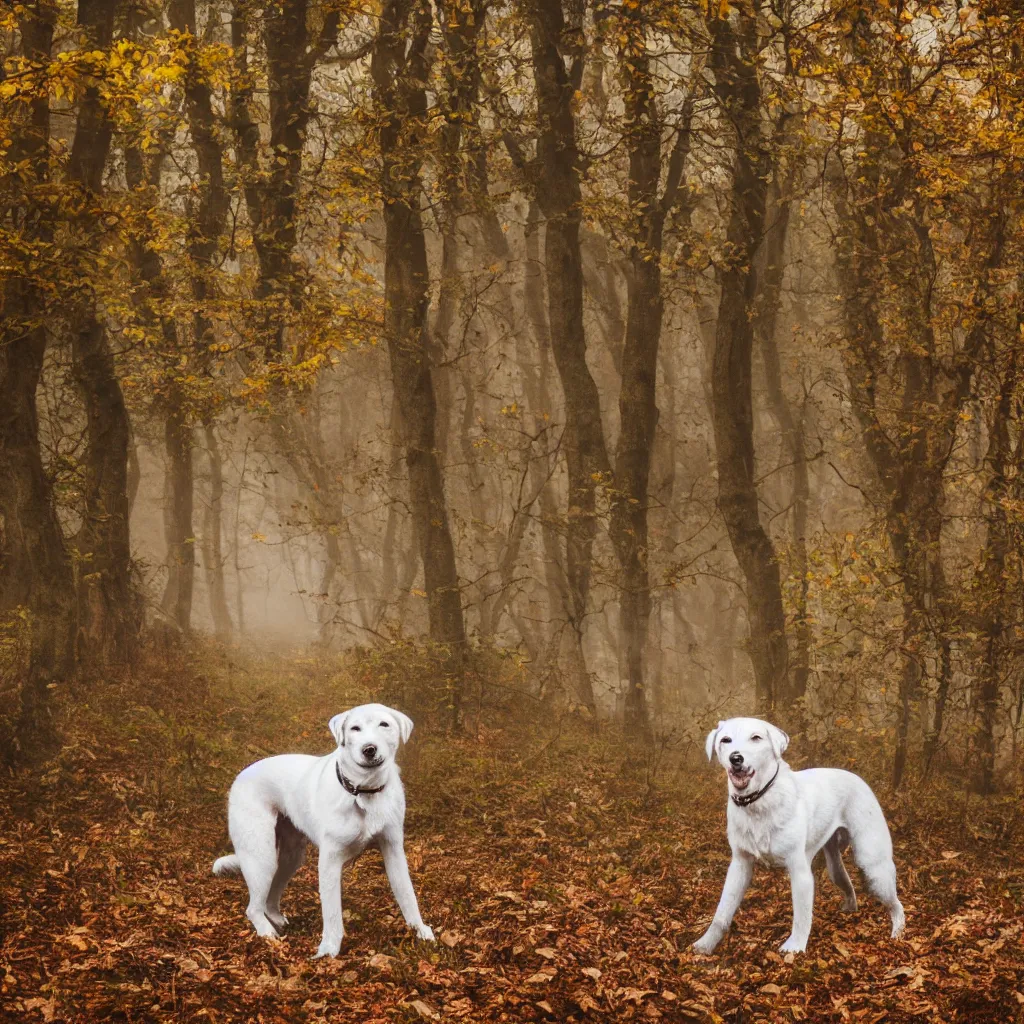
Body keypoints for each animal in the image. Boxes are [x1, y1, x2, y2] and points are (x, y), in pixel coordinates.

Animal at [211, 700, 436, 954]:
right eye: (355, 728)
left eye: (384, 724)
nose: (369, 749)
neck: (363, 791)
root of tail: (240, 776)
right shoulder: (330, 861)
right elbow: (332, 912)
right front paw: (329, 950)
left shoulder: (394, 851)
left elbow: (407, 894)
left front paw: (419, 930)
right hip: (262, 857)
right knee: (253, 908)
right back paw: (268, 933)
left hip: (290, 858)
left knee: (270, 898)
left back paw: (277, 920)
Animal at [696, 720, 905, 950]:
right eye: (725, 740)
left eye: (756, 738)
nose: (736, 758)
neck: (760, 801)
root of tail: (857, 778)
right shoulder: (739, 866)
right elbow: (723, 910)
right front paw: (706, 944)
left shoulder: (800, 871)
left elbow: (802, 916)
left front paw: (795, 948)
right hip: (834, 865)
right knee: (849, 886)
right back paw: (849, 909)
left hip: (873, 864)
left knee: (896, 904)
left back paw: (898, 934)